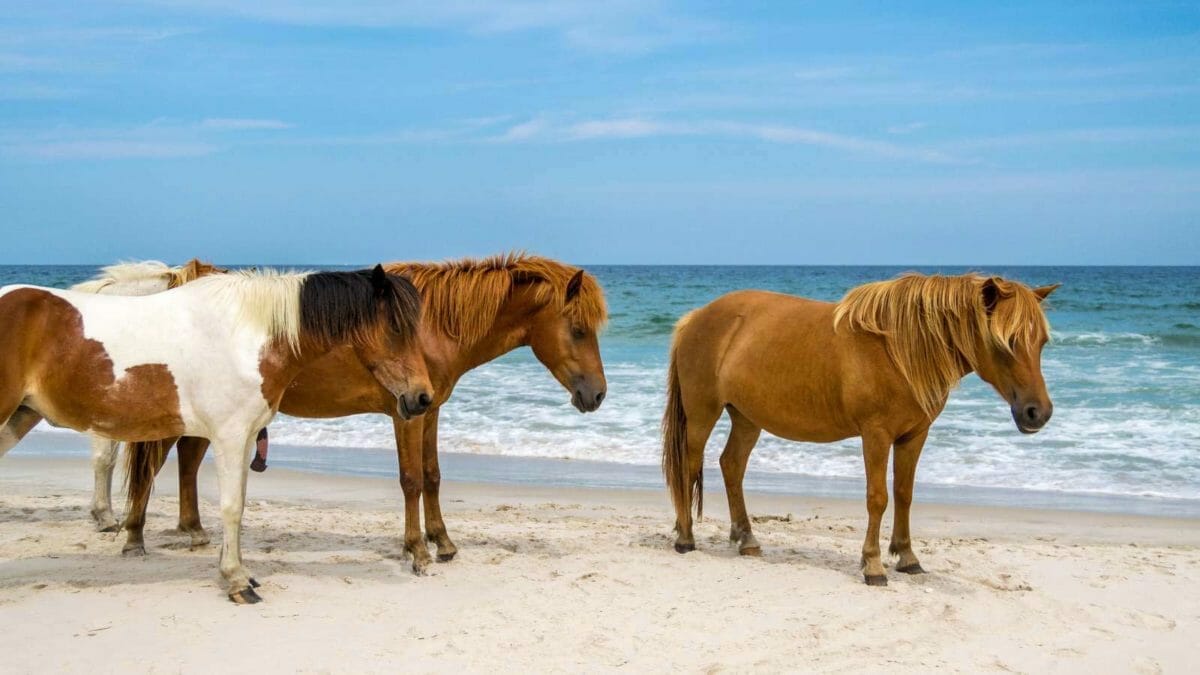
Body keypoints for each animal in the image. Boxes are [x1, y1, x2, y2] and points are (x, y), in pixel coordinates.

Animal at [116, 253, 608, 573]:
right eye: (578, 330)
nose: (598, 395)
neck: (431, 325)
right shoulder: (407, 414)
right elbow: (411, 480)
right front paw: (418, 551)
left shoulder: (430, 410)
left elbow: (432, 476)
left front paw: (443, 542)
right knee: (153, 465)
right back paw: (135, 537)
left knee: (187, 460)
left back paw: (194, 531)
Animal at [662, 273, 1058, 586]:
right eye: (1005, 342)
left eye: (1041, 342)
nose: (1037, 413)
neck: (900, 349)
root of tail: (694, 318)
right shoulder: (876, 435)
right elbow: (877, 498)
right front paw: (873, 566)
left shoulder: (914, 436)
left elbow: (904, 494)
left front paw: (908, 558)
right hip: (702, 415)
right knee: (689, 466)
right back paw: (685, 538)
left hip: (747, 418)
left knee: (732, 466)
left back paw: (746, 539)